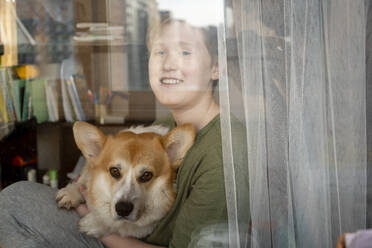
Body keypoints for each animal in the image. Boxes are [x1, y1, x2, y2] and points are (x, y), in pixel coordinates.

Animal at [56, 122, 195, 238]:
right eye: (114, 171)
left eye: (147, 175)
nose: (122, 209)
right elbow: (82, 180)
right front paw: (71, 193)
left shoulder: (151, 219)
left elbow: (122, 227)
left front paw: (94, 223)